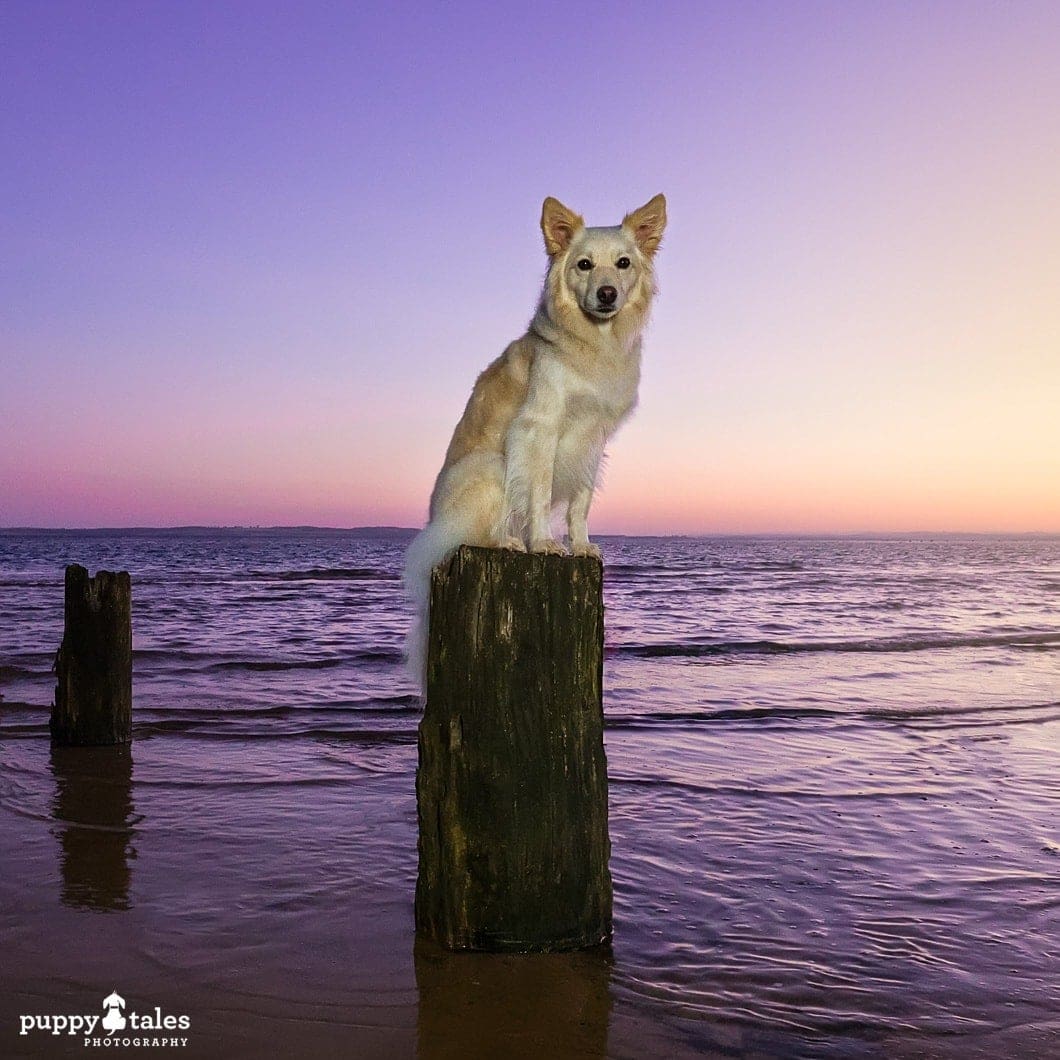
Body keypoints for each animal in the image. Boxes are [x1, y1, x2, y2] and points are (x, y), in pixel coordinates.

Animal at [402, 192, 661, 678]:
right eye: (583, 265)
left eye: (622, 263)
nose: (607, 294)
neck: (592, 342)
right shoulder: (539, 428)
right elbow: (539, 494)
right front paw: (542, 544)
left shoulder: (592, 438)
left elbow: (580, 502)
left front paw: (579, 545)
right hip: (490, 466)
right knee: (471, 535)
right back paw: (509, 540)